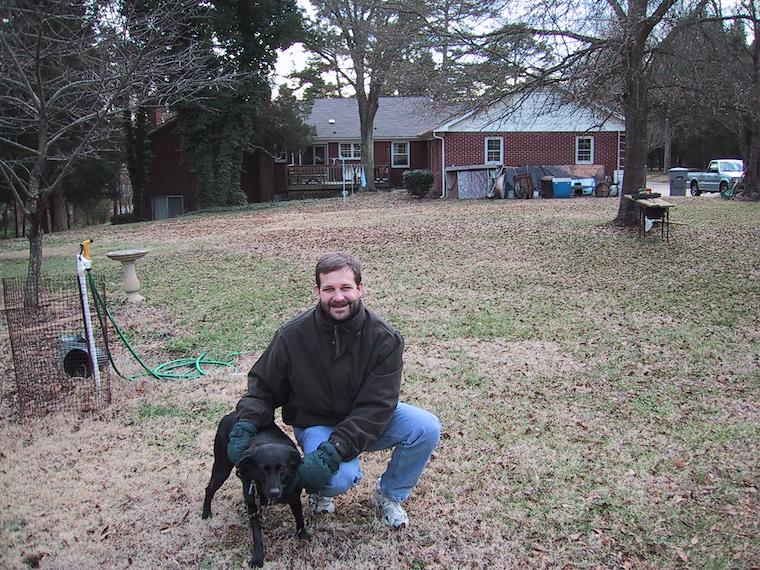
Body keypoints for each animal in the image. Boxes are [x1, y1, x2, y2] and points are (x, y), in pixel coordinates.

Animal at [202, 413, 308, 568]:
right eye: (262, 469)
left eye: (282, 468)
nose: (275, 492)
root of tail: (229, 415)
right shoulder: (251, 504)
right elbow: (257, 534)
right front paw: (257, 558)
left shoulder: (294, 498)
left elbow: (299, 519)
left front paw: (303, 536)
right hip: (221, 467)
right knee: (209, 489)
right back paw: (206, 513)